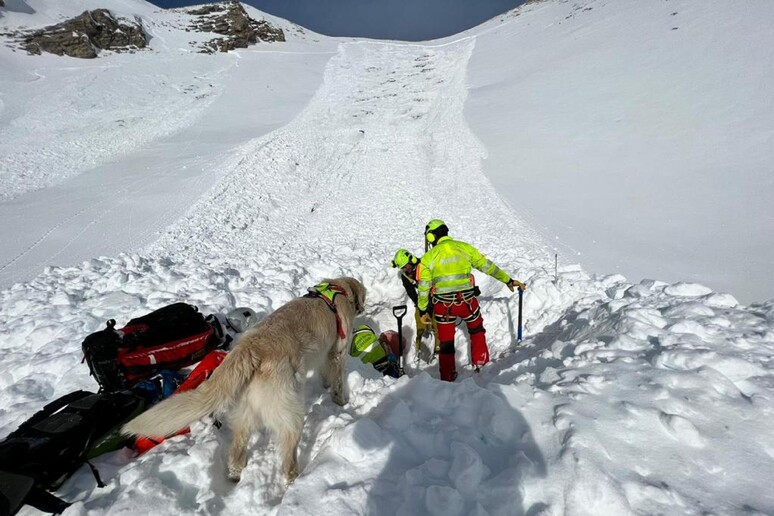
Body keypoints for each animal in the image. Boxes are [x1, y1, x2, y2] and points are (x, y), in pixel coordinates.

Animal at [123, 278, 366, 484]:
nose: (363, 308)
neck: (338, 290)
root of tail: (249, 349)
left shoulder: (326, 355)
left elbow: (326, 374)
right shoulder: (338, 352)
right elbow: (338, 381)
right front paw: (342, 402)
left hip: (245, 413)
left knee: (237, 453)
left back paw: (235, 476)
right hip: (291, 414)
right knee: (287, 460)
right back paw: (295, 481)